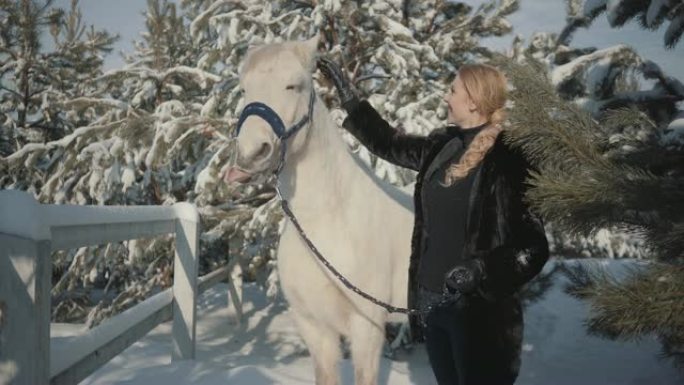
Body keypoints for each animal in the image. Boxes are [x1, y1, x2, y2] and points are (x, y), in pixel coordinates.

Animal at [227, 34, 414, 382]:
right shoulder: (313, 326)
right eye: (244, 88)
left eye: (293, 85)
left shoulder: (367, 329)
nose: (250, 154)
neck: (329, 224)